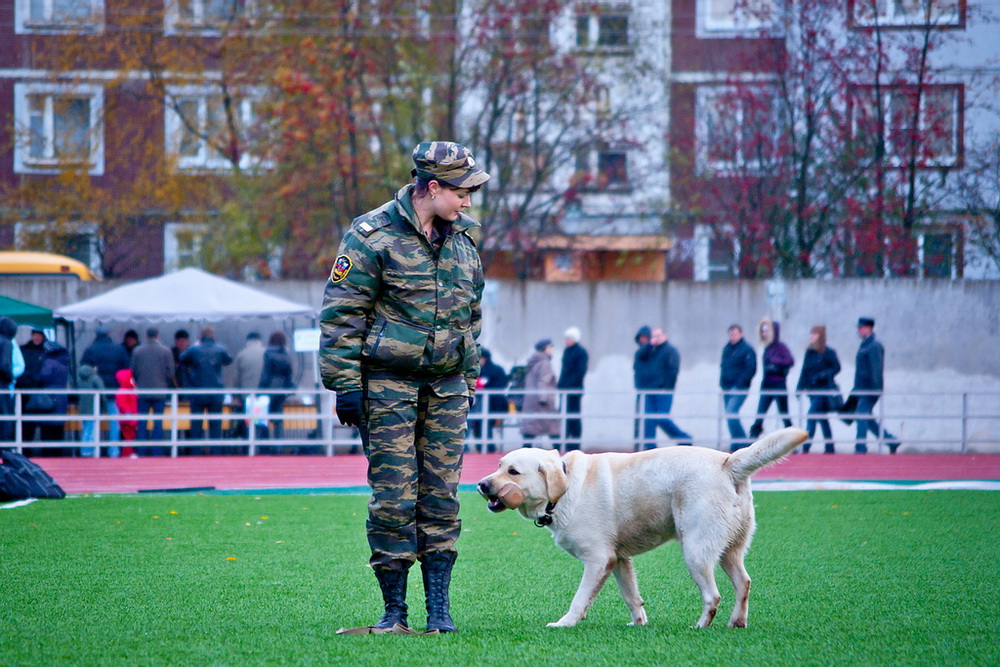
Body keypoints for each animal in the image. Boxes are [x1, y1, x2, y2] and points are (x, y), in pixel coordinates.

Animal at [472, 430, 808, 628]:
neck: (563, 489)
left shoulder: (598, 560)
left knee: (713, 596)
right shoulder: (619, 560)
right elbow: (631, 596)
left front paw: (565, 623)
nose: (481, 484)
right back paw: (736, 623)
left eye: (513, 471)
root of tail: (729, 462)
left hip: (695, 551)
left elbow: (580, 598)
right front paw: (639, 623)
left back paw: (700, 627)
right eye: (498, 465)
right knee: (743, 583)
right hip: (729, 549)